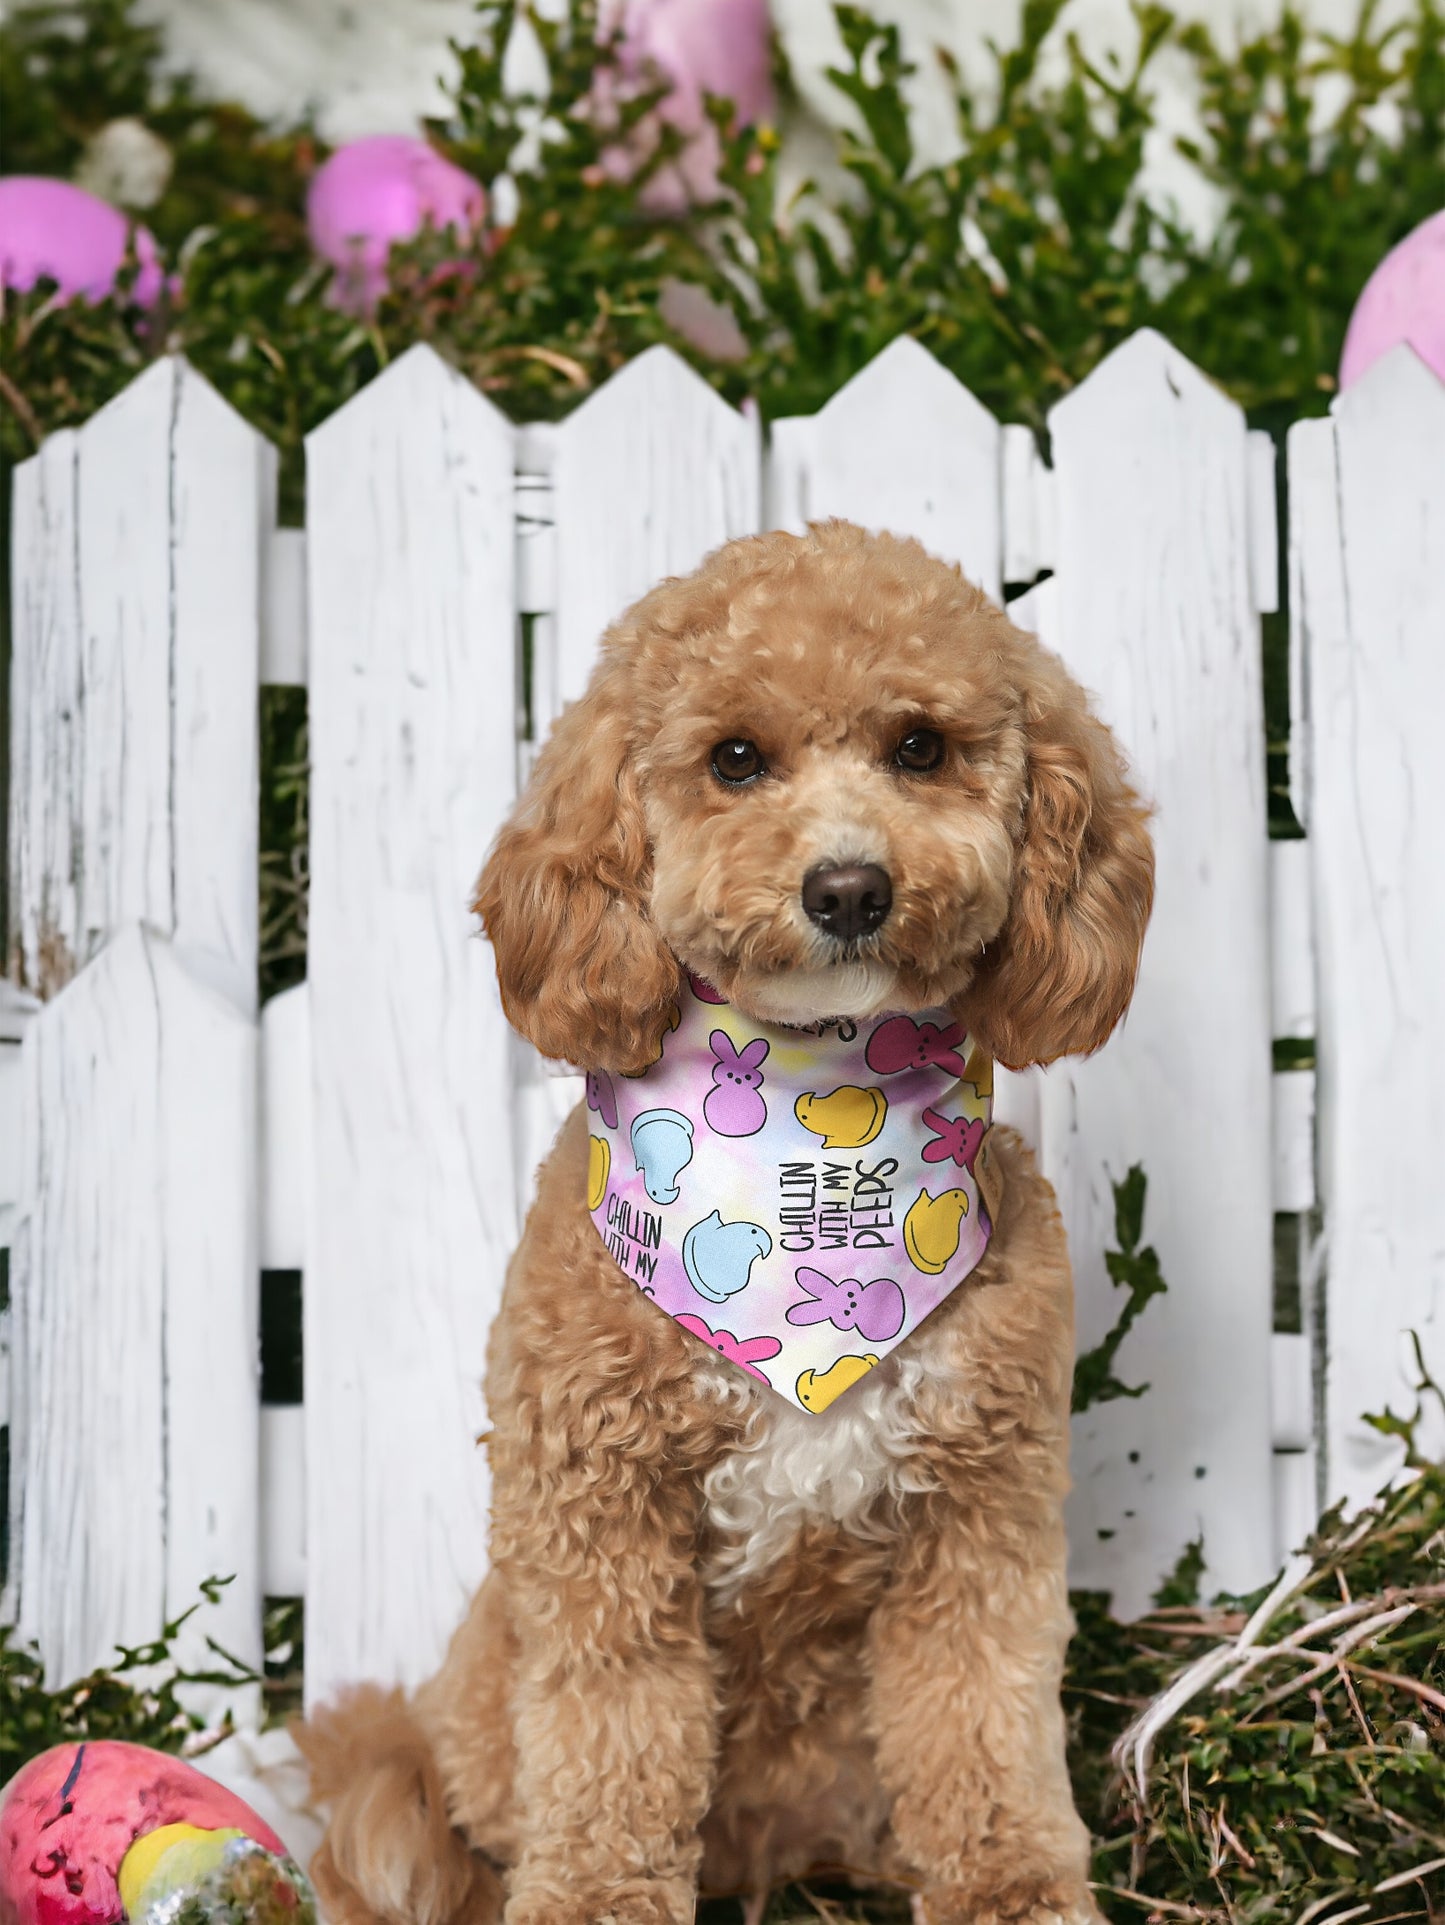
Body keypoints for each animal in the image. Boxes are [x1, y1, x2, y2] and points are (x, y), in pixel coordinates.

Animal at [300, 523, 1162, 1925]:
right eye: (735, 759)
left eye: (919, 745)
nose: (850, 887)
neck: (815, 1126)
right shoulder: (597, 1520)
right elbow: (611, 1745)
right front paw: (594, 1900)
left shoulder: (979, 1513)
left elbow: (982, 1728)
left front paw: (1014, 1889)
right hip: (486, 1711)